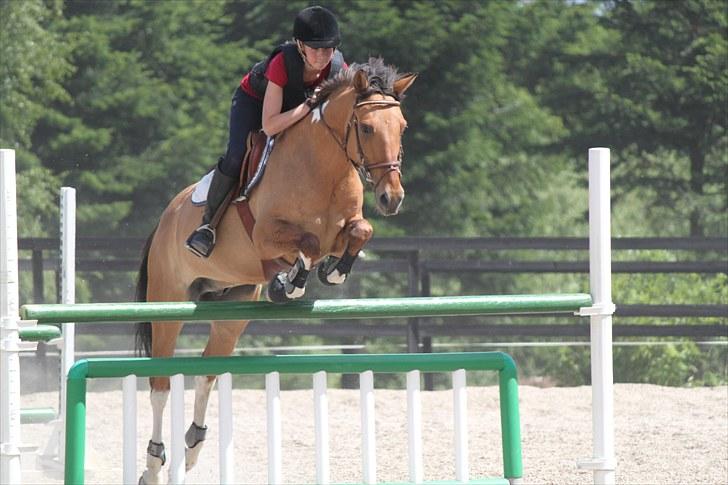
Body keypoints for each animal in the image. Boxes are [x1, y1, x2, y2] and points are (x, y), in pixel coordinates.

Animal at [132, 58, 416, 482]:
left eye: (402, 127)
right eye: (366, 127)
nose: (391, 198)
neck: (323, 169)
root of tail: (165, 218)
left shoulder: (345, 229)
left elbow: (359, 231)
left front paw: (332, 272)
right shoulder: (266, 237)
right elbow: (308, 244)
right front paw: (290, 284)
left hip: (232, 311)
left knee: (205, 372)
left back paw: (194, 446)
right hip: (167, 307)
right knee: (160, 384)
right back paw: (153, 463)